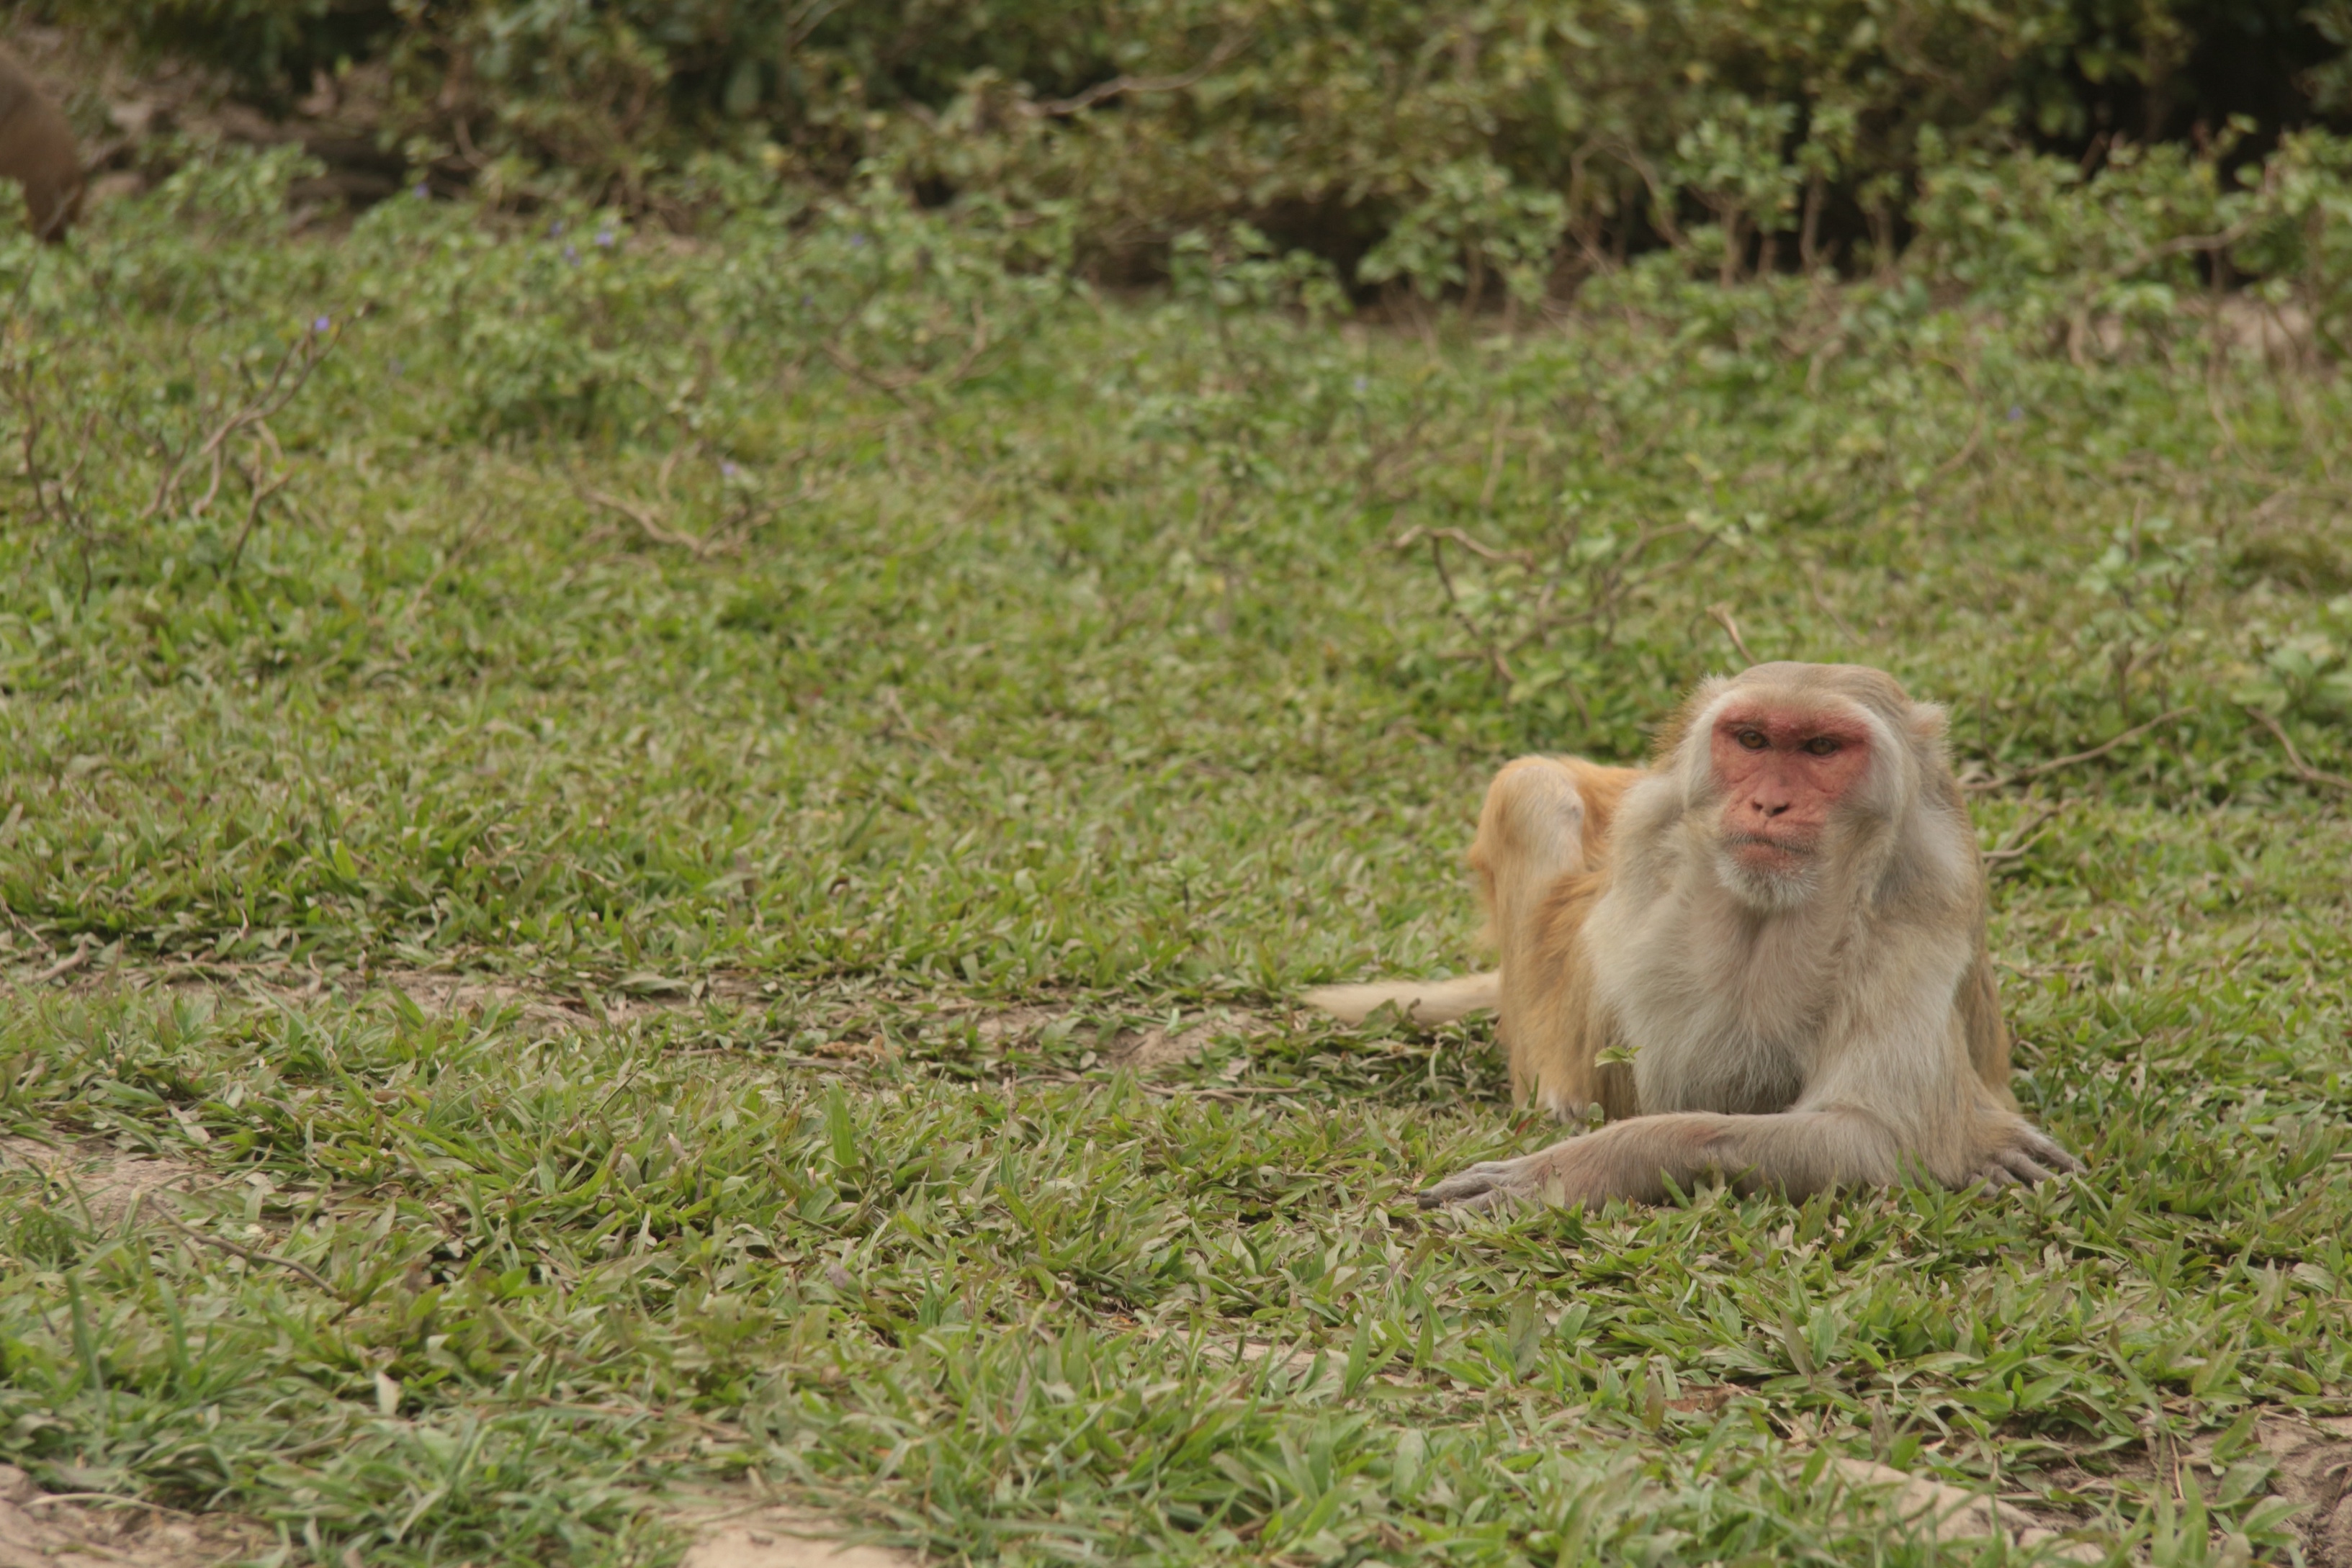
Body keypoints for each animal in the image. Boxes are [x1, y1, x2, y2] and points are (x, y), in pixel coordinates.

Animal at [1306, 662, 2080, 1212]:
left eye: (1822, 748)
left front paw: (1582, 1167)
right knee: (1534, 790)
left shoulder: (1914, 926)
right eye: (1753, 739)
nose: (1769, 803)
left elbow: (1873, 1136)